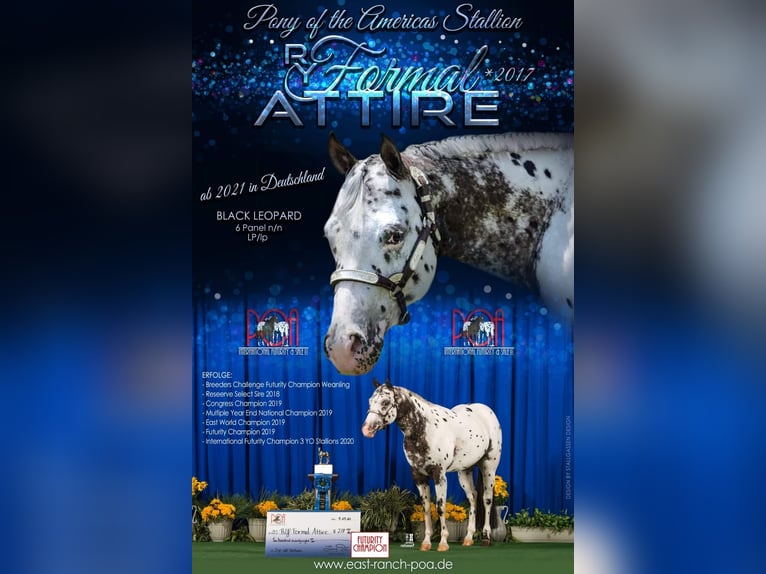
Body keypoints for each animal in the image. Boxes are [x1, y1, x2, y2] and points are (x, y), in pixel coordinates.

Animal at [361, 379, 502, 551]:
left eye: (385, 402)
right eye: (370, 401)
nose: (366, 429)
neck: (424, 429)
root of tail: (486, 411)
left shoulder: (439, 474)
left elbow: (440, 507)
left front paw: (443, 543)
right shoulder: (418, 476)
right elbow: (426, 507)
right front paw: (426, 542)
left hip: (489, 466)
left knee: (487, 499)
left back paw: (486, 537)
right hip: (464, 471)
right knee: (473, 497)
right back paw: (468, 538)